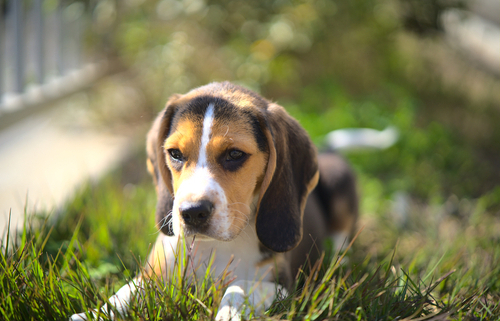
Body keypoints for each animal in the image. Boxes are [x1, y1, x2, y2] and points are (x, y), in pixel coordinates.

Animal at [71, 82, 360, 320]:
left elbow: (238, 288)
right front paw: (91, 314)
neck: (217, 246)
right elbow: (123, 294)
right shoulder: (153, 275)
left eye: (234, 154)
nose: (192, 212)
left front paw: (229, 313)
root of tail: (326, 151)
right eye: (175, 153)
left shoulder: (281, 285)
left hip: (338, 183)